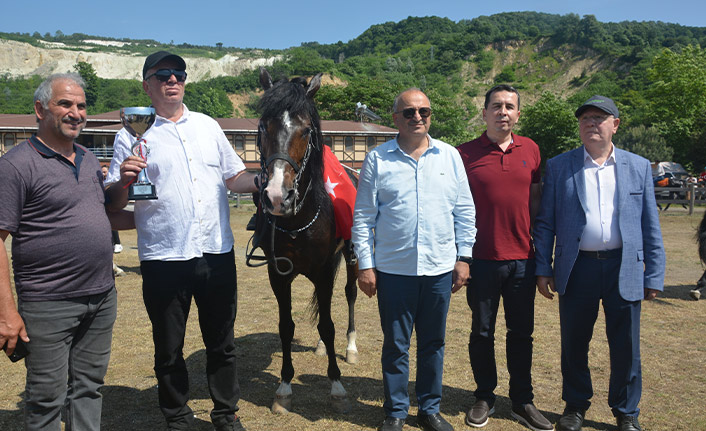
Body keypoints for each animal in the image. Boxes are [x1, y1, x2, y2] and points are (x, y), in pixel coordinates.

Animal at [250, 68, 354, 416]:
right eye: (262, 127)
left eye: (306, 130)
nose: (277, 197)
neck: (299, 220)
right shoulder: (278, 274)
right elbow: (287, 327)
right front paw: (283, 388)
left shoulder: (323, 271)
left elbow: (328, 325)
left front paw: (337, 386)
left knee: (349, 295)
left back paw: (351, 346)